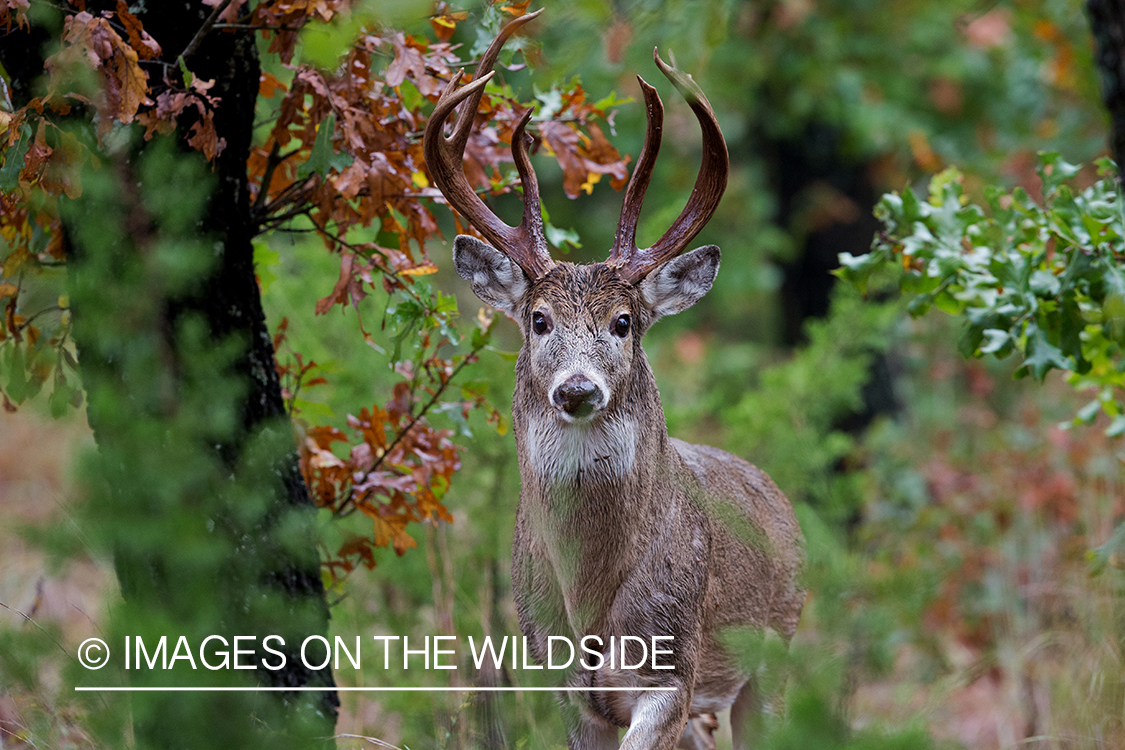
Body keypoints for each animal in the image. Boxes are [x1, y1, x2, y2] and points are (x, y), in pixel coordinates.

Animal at [423, 11, 810, 750]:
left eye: (624, 322)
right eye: (538, 319)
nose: (577, 390)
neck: (590, 604)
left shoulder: (671, 673)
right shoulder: (562, 689)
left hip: (777, 644)